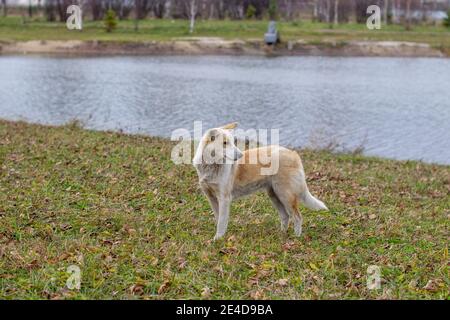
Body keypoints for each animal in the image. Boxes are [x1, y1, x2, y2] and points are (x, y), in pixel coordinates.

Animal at [192, 122, 328, 240]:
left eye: (232, 142)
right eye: (225, 143)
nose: (240, 155)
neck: (211, 166)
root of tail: (293, 153)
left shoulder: (224, 199)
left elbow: (221, 222)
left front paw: (218, 239)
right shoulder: (211, 197)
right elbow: (218, 218)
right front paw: (219, 238)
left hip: (285, 195)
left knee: (297, 217)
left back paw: (296, 238)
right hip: (274, 195)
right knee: (285, 216)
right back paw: (281, 235)